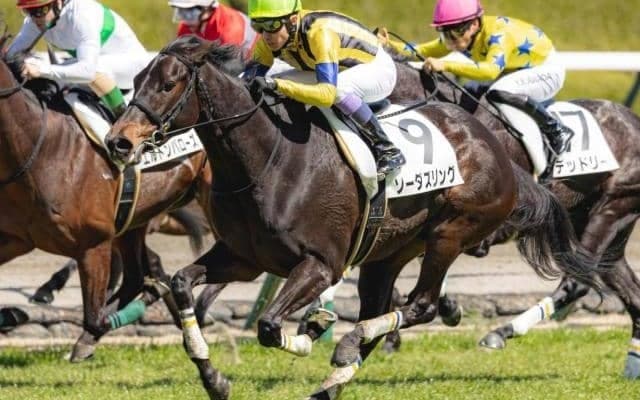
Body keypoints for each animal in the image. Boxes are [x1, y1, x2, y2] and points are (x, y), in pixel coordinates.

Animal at [0, 32, 214, 362]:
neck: (40, 147)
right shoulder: (16, 238)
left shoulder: (94, 243)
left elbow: (96, 318)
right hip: (134, 221)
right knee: (137, 275)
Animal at [105, 36, 599, 399]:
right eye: (137, 78)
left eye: (168, 84)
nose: (118, 141)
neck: (269, 158)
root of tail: (495, 146)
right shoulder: (244, 257)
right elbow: (181, 283)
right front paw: (215, 379)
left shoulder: (321, 263)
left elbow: (269, 326)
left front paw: (312, 330)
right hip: (387, 254)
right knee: (379, 313)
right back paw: (330, 380)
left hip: (450, 233)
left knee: (419, 305)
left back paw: (343, 345)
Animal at [389, 59, 640, 378]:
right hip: (605, 222)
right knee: (628, 289)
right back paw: (633, 364)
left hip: (611, 207)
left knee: (576, 283)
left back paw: (501, 332)